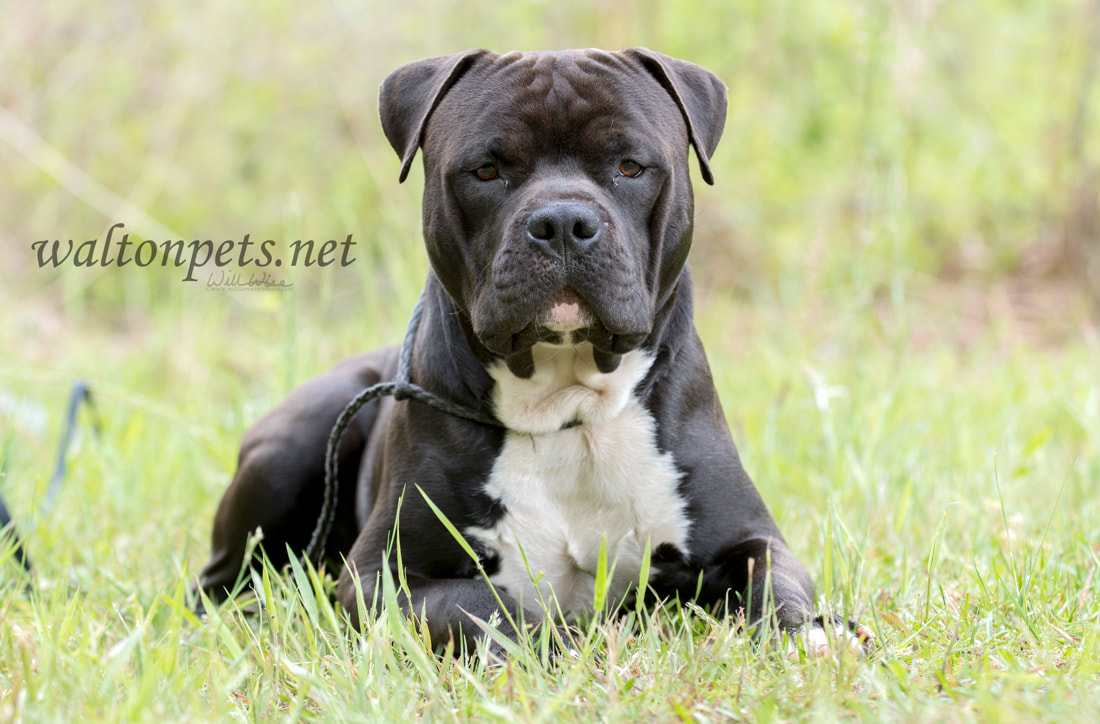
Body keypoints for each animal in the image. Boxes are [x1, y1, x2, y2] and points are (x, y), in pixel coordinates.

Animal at [195, 47, 866, 651]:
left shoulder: (749, 538)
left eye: (631, 166)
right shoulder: (380, 576)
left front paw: (812, 631)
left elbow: (774, 584)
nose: (563, 221)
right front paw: (562, 640)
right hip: (297, 442)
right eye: (487, 170)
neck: (566, 406)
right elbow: (482, 605)